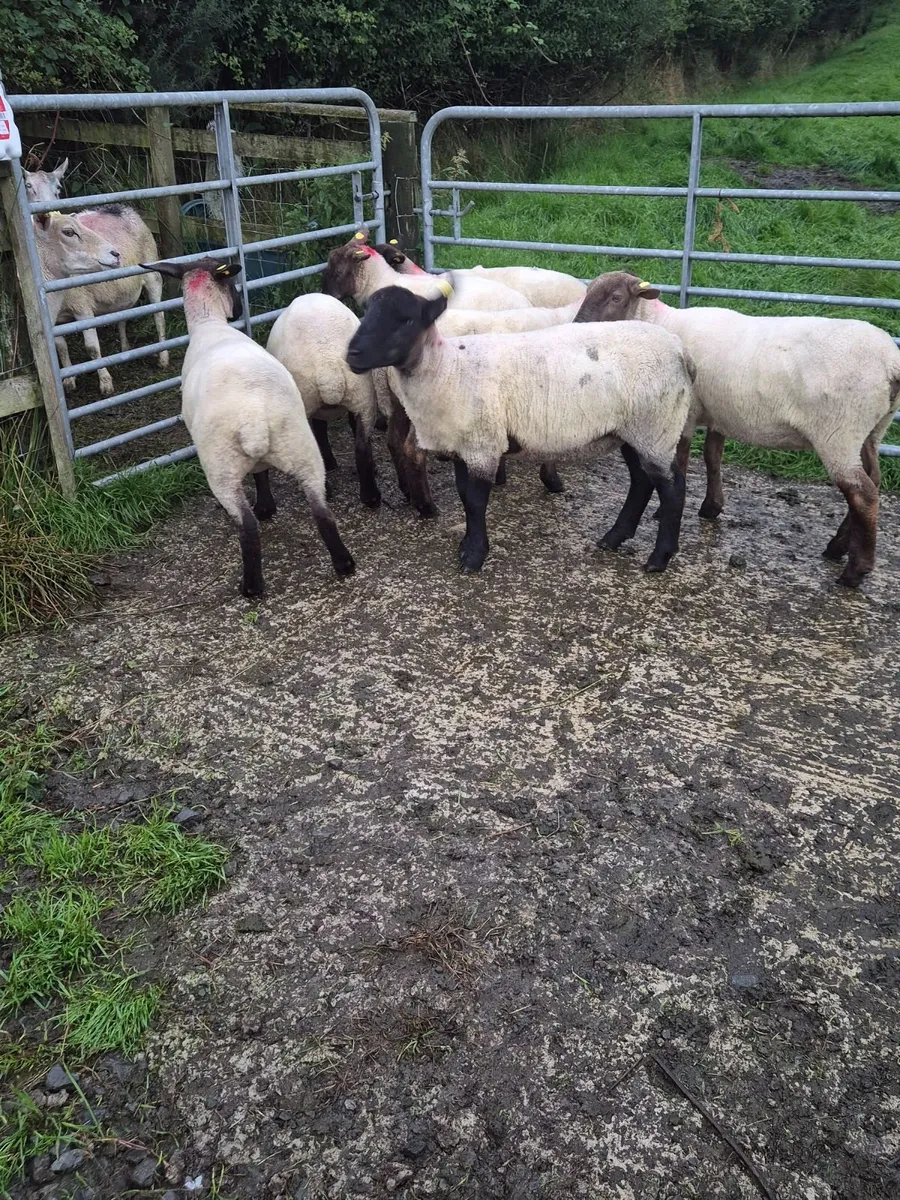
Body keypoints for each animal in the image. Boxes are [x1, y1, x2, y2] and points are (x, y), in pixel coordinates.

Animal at [140, 257, 354, 597]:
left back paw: (251, 587)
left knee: (248, 526)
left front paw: (264, 509)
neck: (209, 324)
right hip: (300, 447)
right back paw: (344, 563)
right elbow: (261, 472)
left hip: (222, 469)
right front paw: (267, 505)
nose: (239, 309)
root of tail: (255, 422)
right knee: (321, 510)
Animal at [266, 293, 380, 508]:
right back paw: (370, 496)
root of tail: (328, 367)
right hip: (363, 397)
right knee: (362, 446)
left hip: (306, 402)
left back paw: (326, 491)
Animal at [346, 285, 695, 574]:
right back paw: (614, 538)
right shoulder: (463, 446)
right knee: (641, 482)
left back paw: (659, 558)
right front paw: (465, 546)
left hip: (656, 426)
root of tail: (680, 351)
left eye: (405, 320)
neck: (447, 369)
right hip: (634, 431)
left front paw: (474, 557)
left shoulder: (483, 445)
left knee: (673, 488)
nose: (352, 354)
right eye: (367, 313)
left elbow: (475, 502)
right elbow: (464, 497)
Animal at [575, 271, 900, 587]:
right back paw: (839, 546)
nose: (577, 325)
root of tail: (890, 361)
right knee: (873, 481)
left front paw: (662, 510)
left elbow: (683, 458)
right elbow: (712, 457)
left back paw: (855, 570)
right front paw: (711, 507)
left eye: (616, 297)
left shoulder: (687, 411)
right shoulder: (718, 413)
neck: (662, 323)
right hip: (872, 431)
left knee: (862, 493)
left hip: (840, 432)